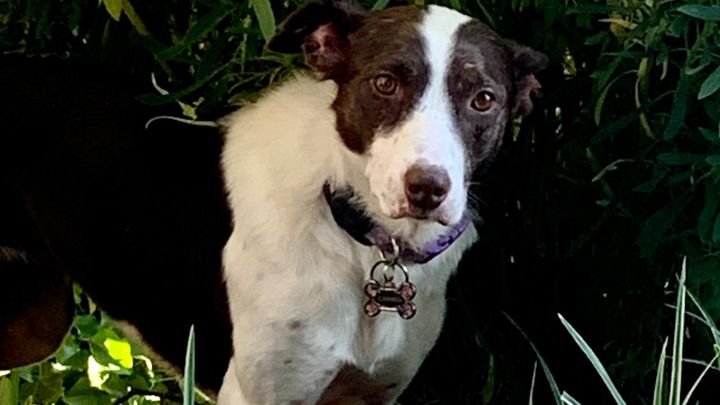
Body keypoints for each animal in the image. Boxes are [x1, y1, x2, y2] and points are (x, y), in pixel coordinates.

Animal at [0, 0, 546, 403]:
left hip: (37, 323)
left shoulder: (373, 392)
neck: (356, 239)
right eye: (385, 82)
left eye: (483, 99)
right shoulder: (262, 392)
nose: (428, 188)